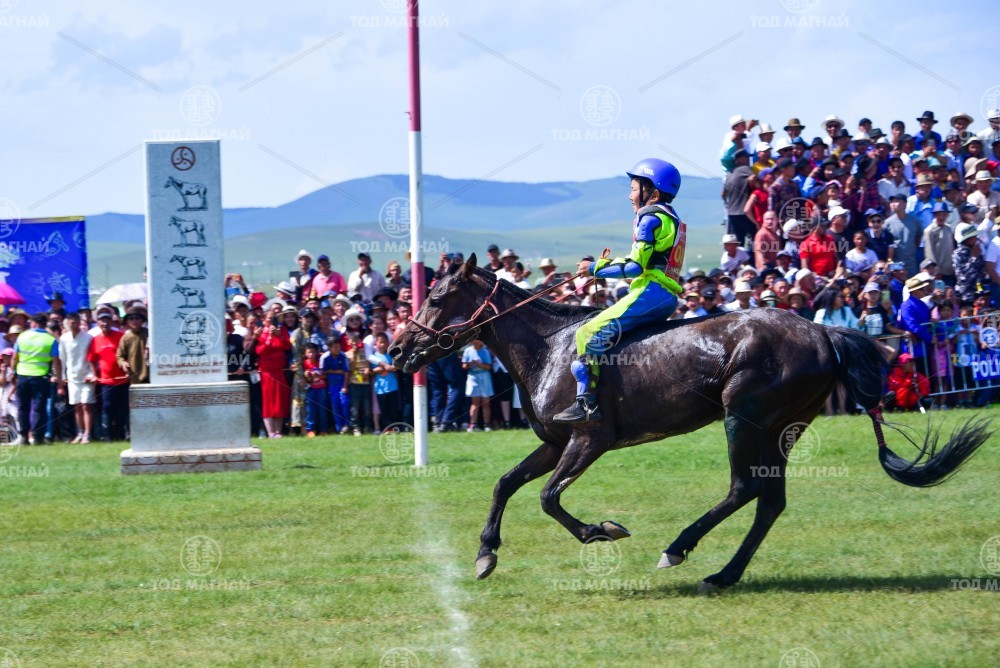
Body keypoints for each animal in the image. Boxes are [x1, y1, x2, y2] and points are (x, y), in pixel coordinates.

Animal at [389, 254, 990, 592]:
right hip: (781, 429)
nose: (397, 349)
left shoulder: (588, 439)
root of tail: (823, 331)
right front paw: (485, 553)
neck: (551, 349)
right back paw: (724, 574)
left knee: (744, 487)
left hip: (744, 418)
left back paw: (678, 547)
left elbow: (548, 498)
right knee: (769, 501)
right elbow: (506, 483)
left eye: (438, 296)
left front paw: (601, 530)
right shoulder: (555, 443)